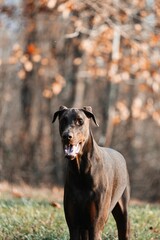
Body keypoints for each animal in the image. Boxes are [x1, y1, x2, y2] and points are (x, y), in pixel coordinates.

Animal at [52, 106, 130, 239]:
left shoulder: (95, 225)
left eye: (80, 121)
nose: (66, 136)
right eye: (63, 120)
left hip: (123, 212)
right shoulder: (74, 225)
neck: (81, 171)